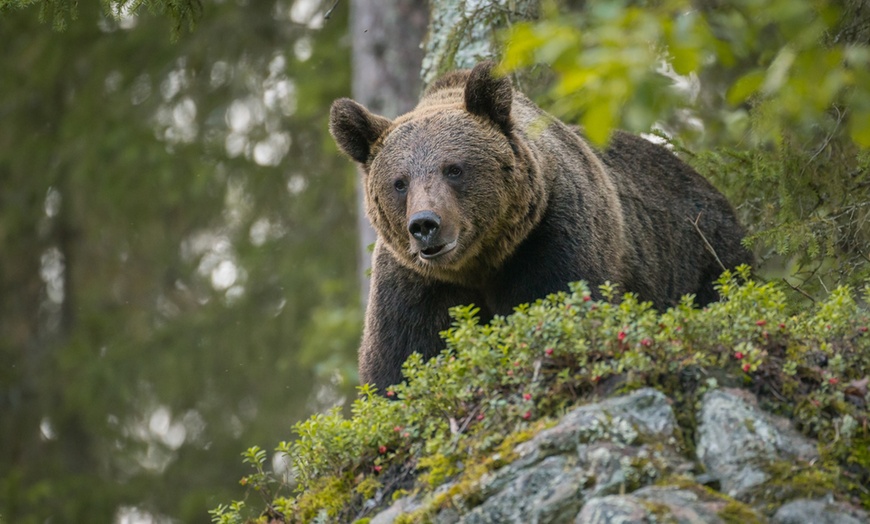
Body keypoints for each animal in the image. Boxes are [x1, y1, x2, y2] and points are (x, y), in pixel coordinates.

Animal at [330, 61, 752, 392]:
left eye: (454, 168)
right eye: (399, 182)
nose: (425, 225)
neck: (480, 262)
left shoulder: (552, 236)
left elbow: (559, 305)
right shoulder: (415, 281)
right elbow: (401, 361)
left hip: (704, 256)